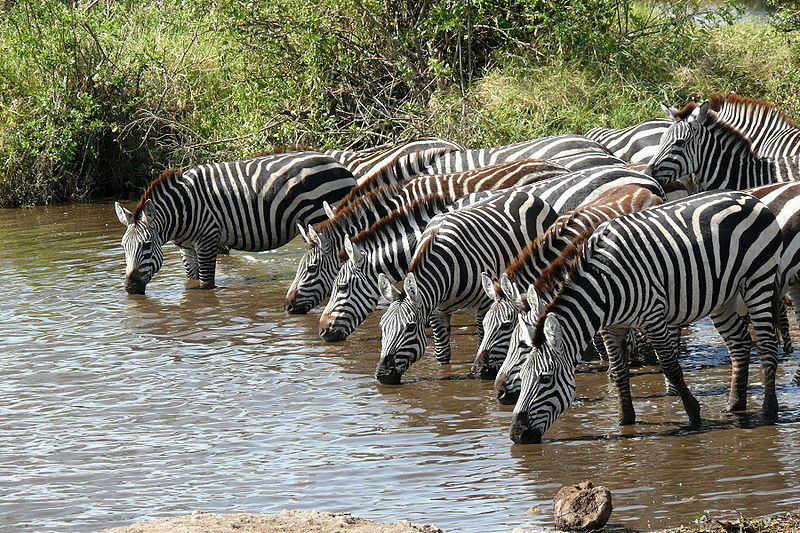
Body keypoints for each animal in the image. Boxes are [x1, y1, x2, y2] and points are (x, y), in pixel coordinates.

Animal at [376, 187, 556, 382]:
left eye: (409, 327)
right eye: (382, 326)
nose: (382, 375)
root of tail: (526, 193)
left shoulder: (484, 305)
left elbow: (482, 341)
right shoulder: (437, 311)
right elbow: (442, 353)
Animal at [512, 189, 780, 442]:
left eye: (545, 379)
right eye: (523, 377)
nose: (516, 434)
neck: (604, 285)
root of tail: (747, 196)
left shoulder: (653, 317)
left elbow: (670, 366)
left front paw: (693, 414)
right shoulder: (611, 328)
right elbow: (619, 372)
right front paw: (625, 420)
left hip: (759, 279)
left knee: (767, 344)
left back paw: (769, 410)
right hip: (723, 297)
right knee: (739, 343)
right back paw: (735, 405)